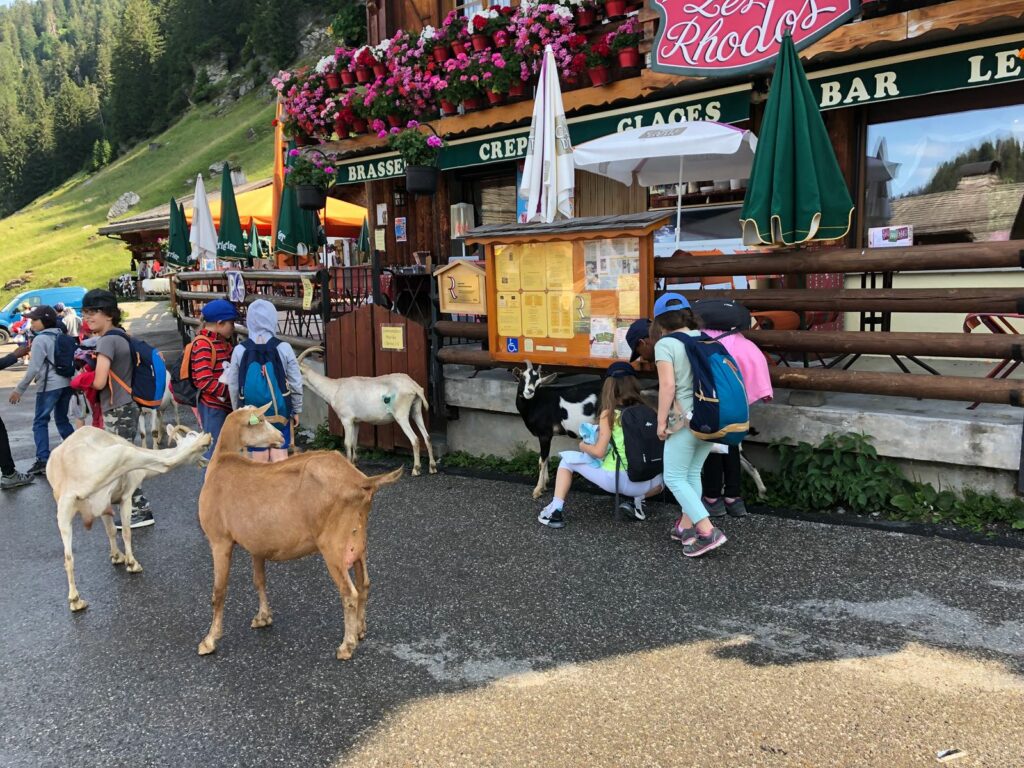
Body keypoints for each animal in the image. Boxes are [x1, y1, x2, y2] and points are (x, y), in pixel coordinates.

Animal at [47, 423, 209, 610]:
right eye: (191, 435)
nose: (205, 460)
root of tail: (67, 473)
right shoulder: (125, 496)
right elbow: (125, 531)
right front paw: (131, 563)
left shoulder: (104, 505)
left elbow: (111, 530)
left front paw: (117, 556)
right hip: (122, 456)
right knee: (165, 464)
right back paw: (206, 439)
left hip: (63, 512)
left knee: (68, 557)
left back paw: (76, 601)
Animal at [197, 403, 405, 663]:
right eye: (261, 421)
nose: (280, 437)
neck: (222, 462)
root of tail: (361, 482)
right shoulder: (257, 544)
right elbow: (259, 580)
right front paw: (263, 617)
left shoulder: (219, 540)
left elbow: (219, 591)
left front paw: (209, 640)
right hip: (358, 542)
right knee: (365, 584)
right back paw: (359, 630)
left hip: (333, 545)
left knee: (350, 593)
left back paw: (346, 646)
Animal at [299, 348, 438, 479]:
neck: (335, 389)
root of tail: (414, 387)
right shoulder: (356, 421)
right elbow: (354, 442)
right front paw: (354, 463)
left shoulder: (346, 419)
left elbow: (347, 443)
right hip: (416, 409)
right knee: (427, 437)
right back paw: (432, 467)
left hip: (401, 415)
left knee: (415, 439)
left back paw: (416, 469)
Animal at [512, 360, 598, 499]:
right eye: (523, 376)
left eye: (538, 383)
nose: (530, 391)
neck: (536, 403)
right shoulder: (549, 435)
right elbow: (545, 458)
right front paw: (545, 484)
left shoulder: (544, 434)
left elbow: (542, 460)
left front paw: (538, 490)